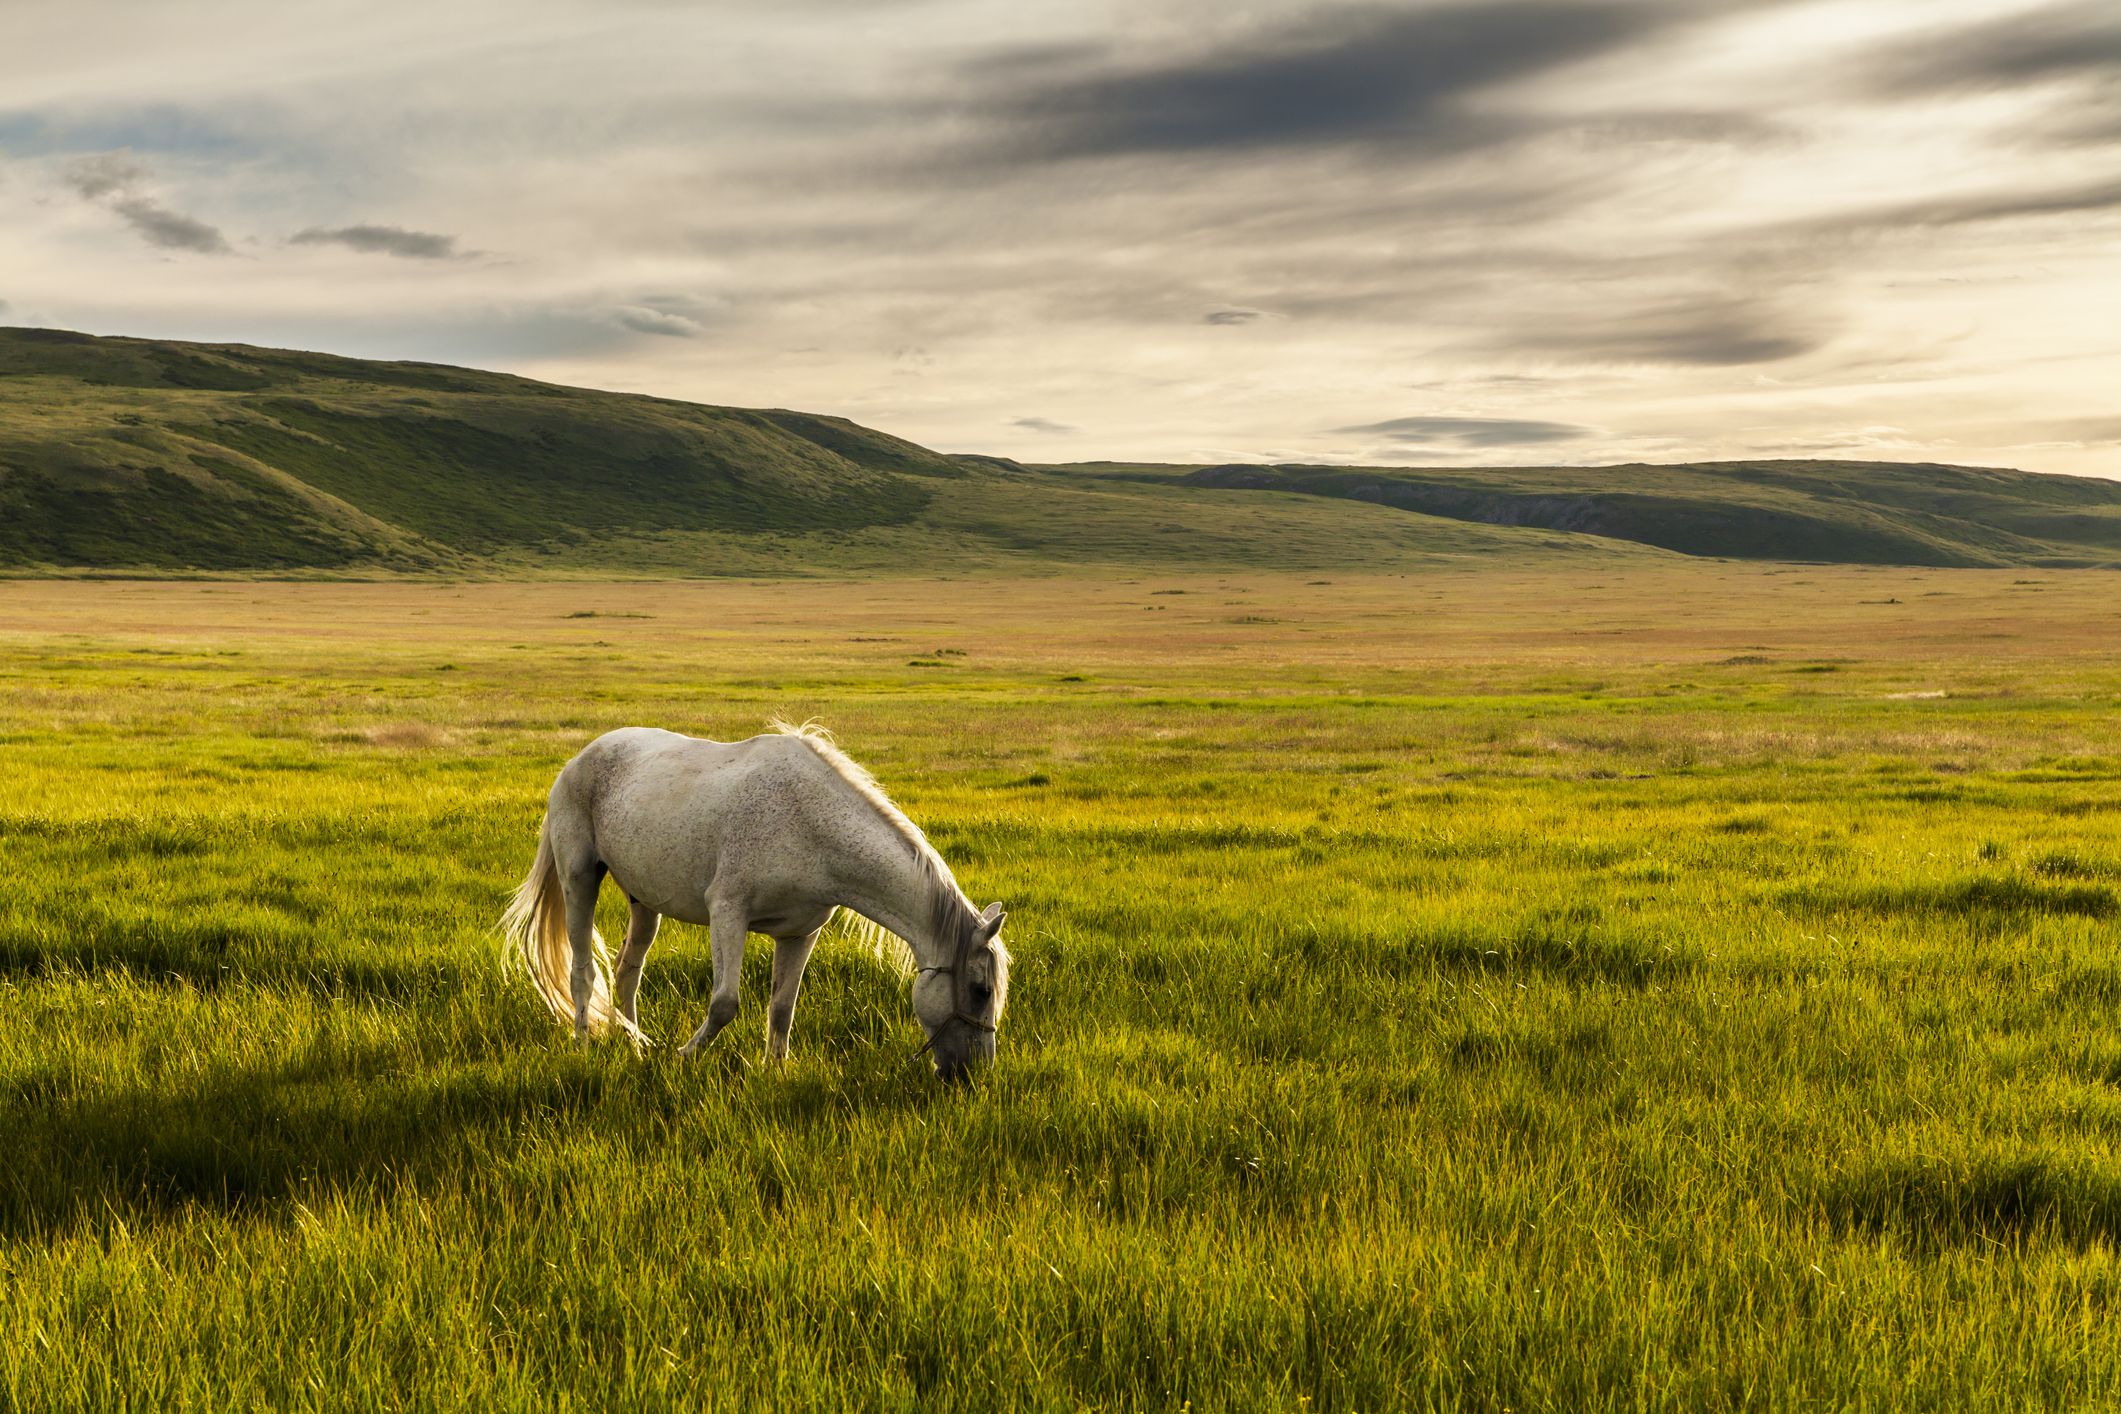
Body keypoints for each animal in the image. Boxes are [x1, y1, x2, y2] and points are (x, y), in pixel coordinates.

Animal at [499, 720, 1009, 1081]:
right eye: (981, 990)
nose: (973, 1076)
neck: (811, 825)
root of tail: (582, 756)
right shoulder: (728, 913)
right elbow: (725, 1003)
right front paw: (685, 1056)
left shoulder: (801, 933)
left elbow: (782, 1008)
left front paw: (773, 1071)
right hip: (580, 879)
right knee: (582, 971)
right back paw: (584, 1044)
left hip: (644, 902)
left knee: (627, 971)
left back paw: (636, 1044)